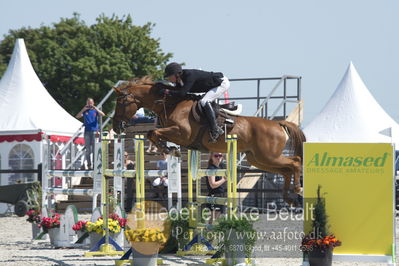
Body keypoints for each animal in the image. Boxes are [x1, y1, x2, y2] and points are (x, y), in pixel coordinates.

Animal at [112, 76, 306, 205]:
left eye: (120, 103)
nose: (116, 127)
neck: (170, 103)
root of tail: (278, 124)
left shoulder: (182, 133)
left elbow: (153, 132)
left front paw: (169, 150)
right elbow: (153, 133)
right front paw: (169, 149)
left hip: (268, 156)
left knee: (295, 162)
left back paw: (298, 189)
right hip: (257, 159)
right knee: (286, 170)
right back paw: (290, 198)